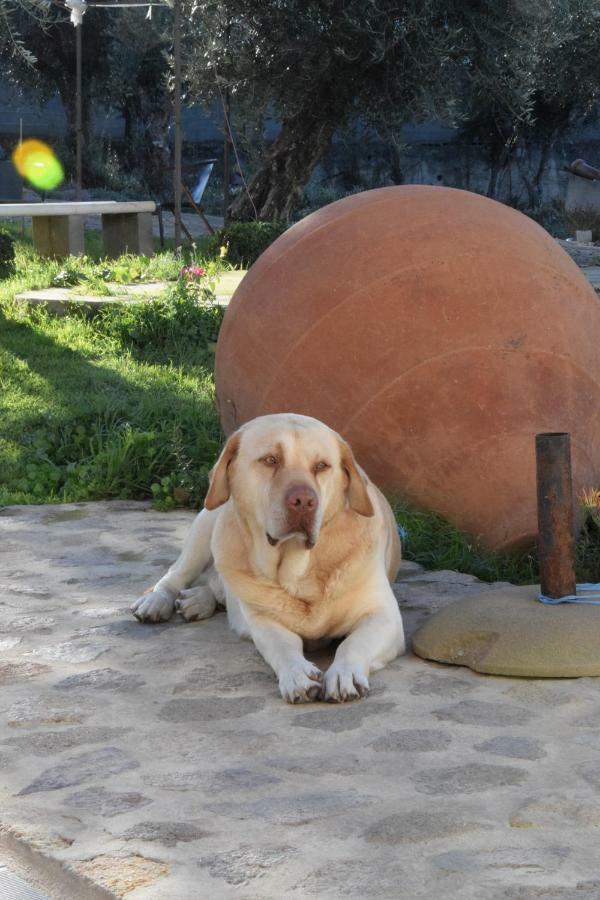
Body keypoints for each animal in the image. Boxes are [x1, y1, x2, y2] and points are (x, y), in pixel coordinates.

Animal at [131, 412, 404, 700]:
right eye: (271, 460)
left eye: (322, 466)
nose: (304, 501)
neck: (299, 570)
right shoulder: (263, 621)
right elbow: (282, 646)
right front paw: (297, 674)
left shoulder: (384, 616)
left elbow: (353, 643)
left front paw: (344, 674)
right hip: (206, 525)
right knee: (176, 575)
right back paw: (156, 601)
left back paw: (198, 600)